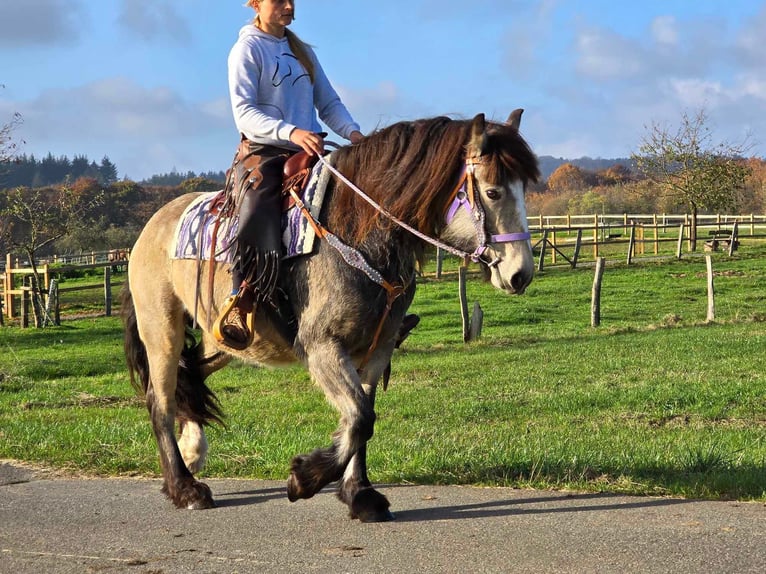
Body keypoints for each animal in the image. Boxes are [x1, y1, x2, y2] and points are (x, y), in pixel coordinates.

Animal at [121, 109, 540, 520]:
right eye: (493, 191)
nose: (520, 274)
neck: (357, 234)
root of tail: (150, 229)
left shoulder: (376, 349)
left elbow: (363, 419)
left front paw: (359, 493)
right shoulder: (322, 347)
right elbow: (359, 418)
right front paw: (305, 477)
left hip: (224, 340)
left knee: (190, 373)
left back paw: (193, 451)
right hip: (163, 330)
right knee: (160, 401)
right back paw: (184, 487)